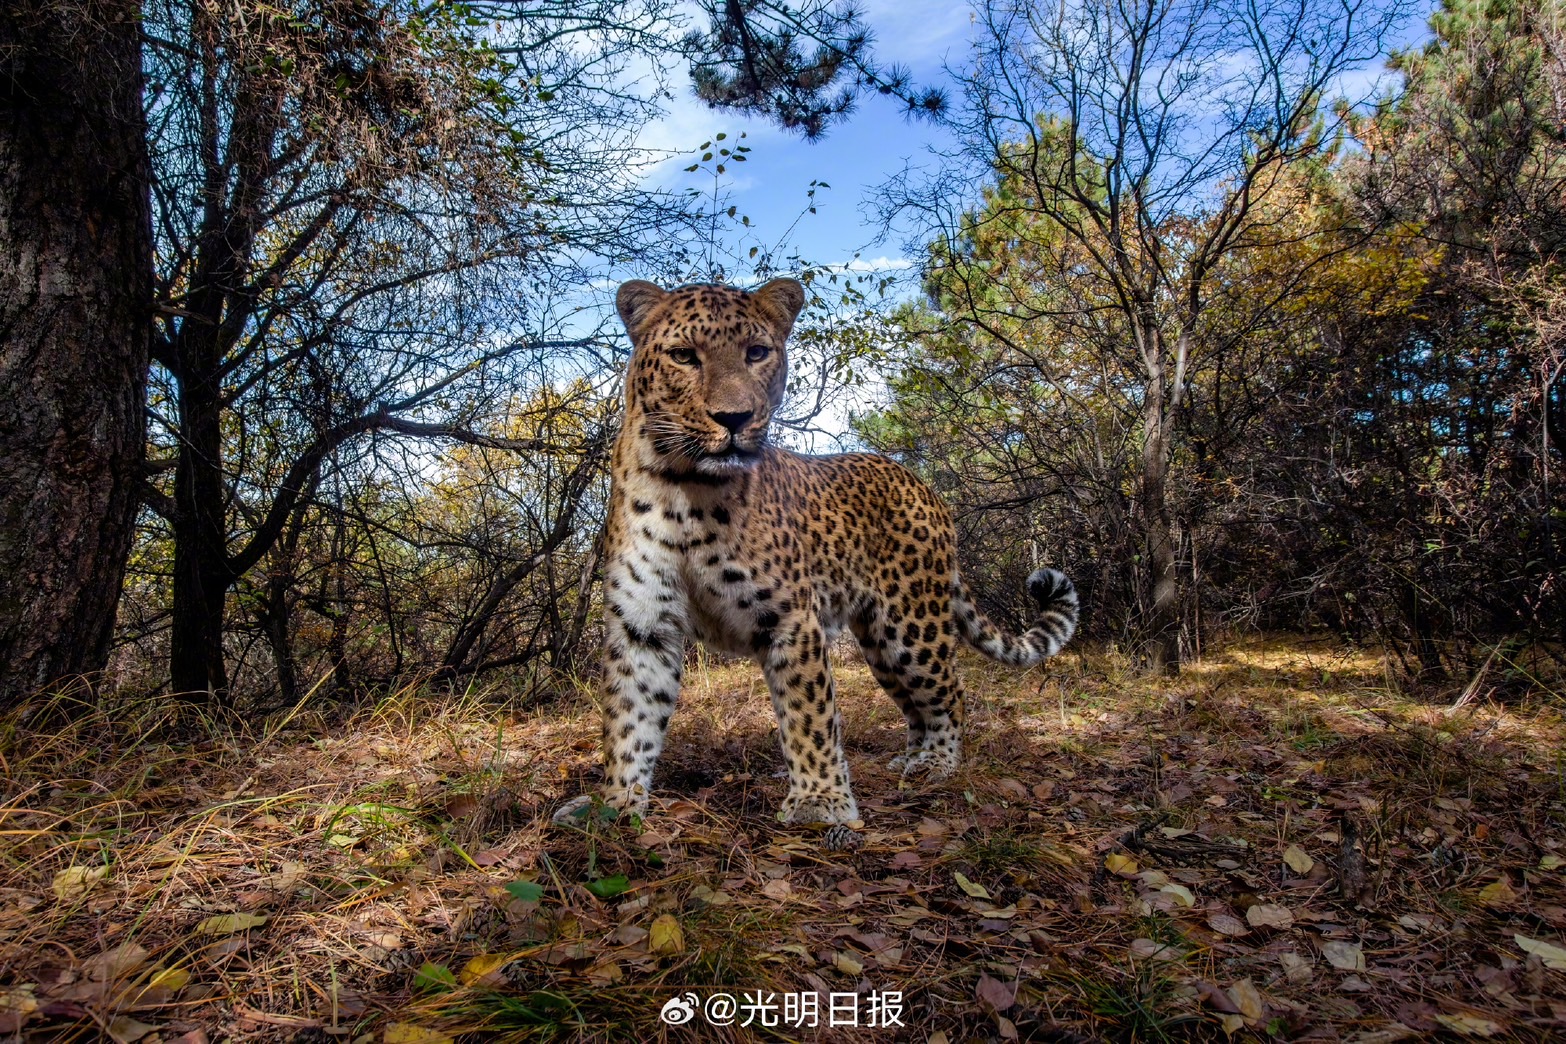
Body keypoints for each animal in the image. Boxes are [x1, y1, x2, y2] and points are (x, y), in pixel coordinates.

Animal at [551, 275, 1077, 832]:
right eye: (683, 356)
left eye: (757, 353)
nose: (734, 418)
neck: (684, 491)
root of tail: (922, 484)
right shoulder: (643, 625)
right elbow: (628, 720)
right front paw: (613, 804)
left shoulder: (790, 619)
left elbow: (810, 716)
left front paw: (820, 802)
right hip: (879, 642)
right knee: (913, 704)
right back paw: (908, 758)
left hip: (912, 624)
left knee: (949, 692)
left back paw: (937, 764)